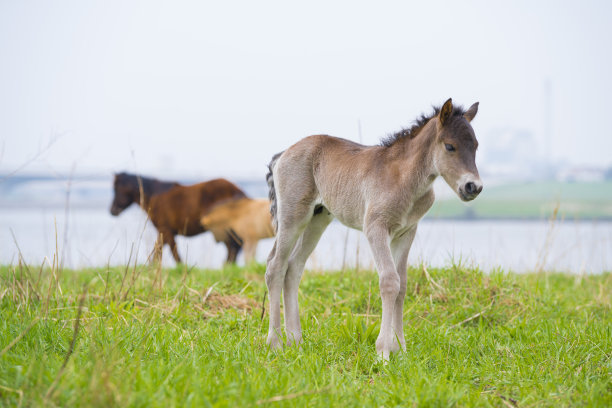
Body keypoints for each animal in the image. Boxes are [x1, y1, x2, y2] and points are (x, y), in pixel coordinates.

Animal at [110, 173, 246, 262]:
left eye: (117, 189)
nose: (112, 210)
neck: (154, 196)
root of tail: (239, 191)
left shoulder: (166, 230)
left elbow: (173, 252)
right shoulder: (164, 232)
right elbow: (158, 250)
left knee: (234, 247)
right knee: (233, 247)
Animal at [266, 99, 480, 360]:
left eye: (476, 146)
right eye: (450, 146)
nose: (473, 187)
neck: (404, 179)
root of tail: (283, 154)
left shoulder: (406, 231)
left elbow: (402, 285)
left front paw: (401, 349)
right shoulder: (375, 228)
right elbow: (389, 281)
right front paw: (384, 351)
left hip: (318, 219)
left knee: (294, 267)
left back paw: (295, 341)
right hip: (293, 216)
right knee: (275, 266)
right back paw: (275, 343)